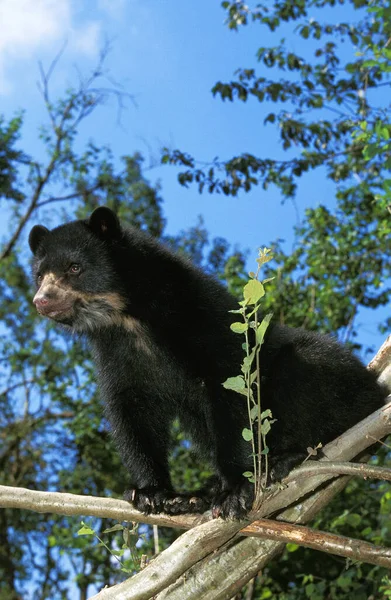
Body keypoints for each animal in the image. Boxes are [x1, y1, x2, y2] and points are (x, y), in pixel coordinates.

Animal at [29, 206, 388, 516]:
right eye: (40, 274)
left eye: (74, 268)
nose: (41, 301)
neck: (129, 315)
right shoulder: (116, 351)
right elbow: (132, 407)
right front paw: (151, 492)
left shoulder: (199, 316)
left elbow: (232, 384)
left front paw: (234, 492)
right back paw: (197, 495)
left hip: (334, 377)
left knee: (304, 373)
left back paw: (286, 458)